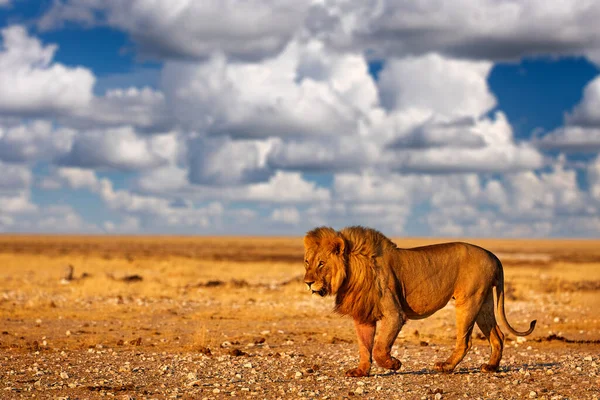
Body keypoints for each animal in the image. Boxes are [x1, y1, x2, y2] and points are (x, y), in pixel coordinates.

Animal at [302, 227, 536, 376]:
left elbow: (379, 347)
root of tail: (494, 256)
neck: (351, 272)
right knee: (498, 335)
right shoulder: (363, 315)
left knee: (466, 341)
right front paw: (360, 372)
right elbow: (364, 347)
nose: (307, 282)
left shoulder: (394, 314)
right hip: (484, 301)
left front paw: (394, 364)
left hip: (468, 301)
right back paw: (491, 367)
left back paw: (446, 366)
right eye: (307, 262)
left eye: (321, 263)